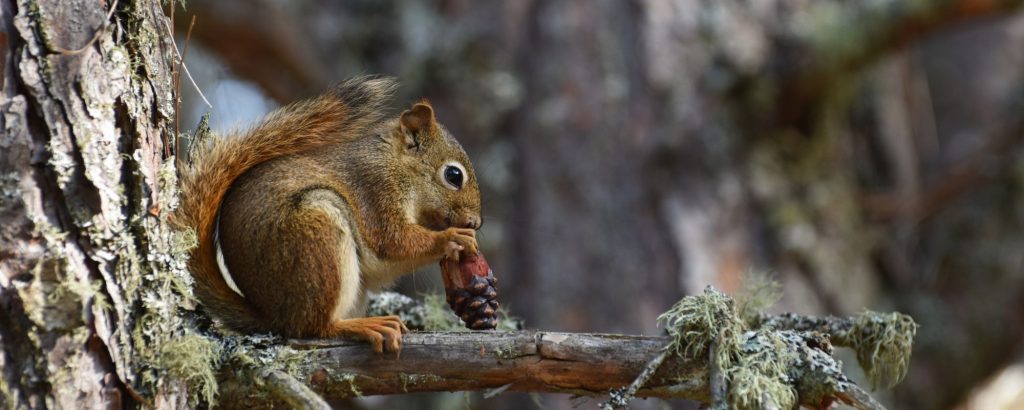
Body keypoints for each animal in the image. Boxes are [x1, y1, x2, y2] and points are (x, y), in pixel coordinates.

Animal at [174, 77, 481, 353]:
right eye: (453, 175)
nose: (475, 222)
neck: (396, 163)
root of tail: (272, 316)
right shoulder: (376, 191)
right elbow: (394, 241)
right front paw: (452, 238)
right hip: (318, 239)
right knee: (313, 327)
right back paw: (363, 326)